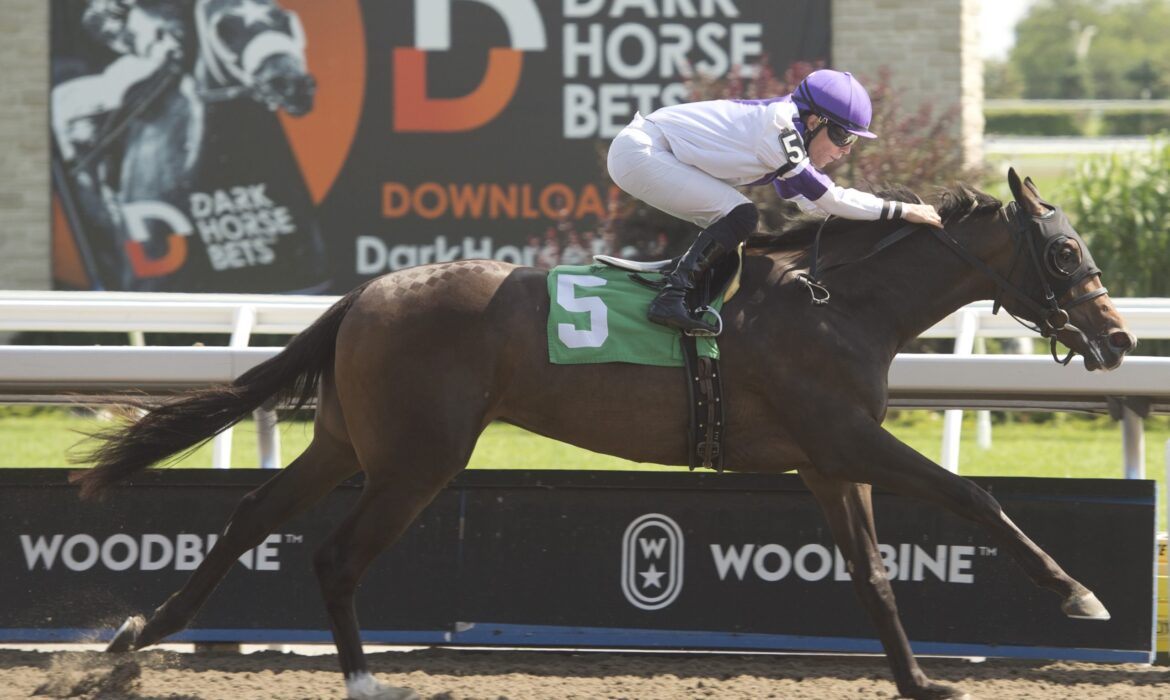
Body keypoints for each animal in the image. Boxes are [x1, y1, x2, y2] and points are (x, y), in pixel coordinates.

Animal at [70, 170, 1132, 700]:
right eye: (1065, 249)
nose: (1119, 337)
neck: (841, 303)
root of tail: (367, 293)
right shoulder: (848, 443)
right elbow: (974, 496)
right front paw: (1079, 594)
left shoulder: (829, 464)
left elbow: (873, 574)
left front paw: (920, 684)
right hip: (418, 458)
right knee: (334, 554)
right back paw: (366, 681)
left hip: (349, 440)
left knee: (254, 512)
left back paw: (128, 640)